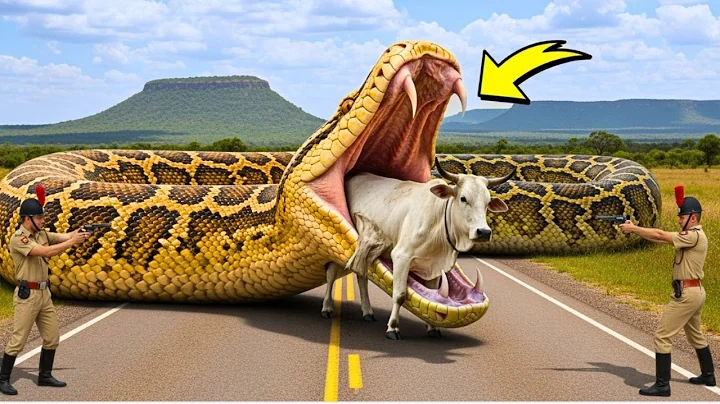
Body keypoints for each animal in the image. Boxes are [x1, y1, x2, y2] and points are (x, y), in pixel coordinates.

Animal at [321, 158, 515, 339]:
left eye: (488, 202)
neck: (438, 221)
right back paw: (327, 308)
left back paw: (367, 312)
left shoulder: (435, 266)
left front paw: (432, 328)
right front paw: (393, 328)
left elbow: (436, 297)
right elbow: (399, 294)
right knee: (331, 274)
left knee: (362, 276)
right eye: (463, 198)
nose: (484, 232)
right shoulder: (401, 257)